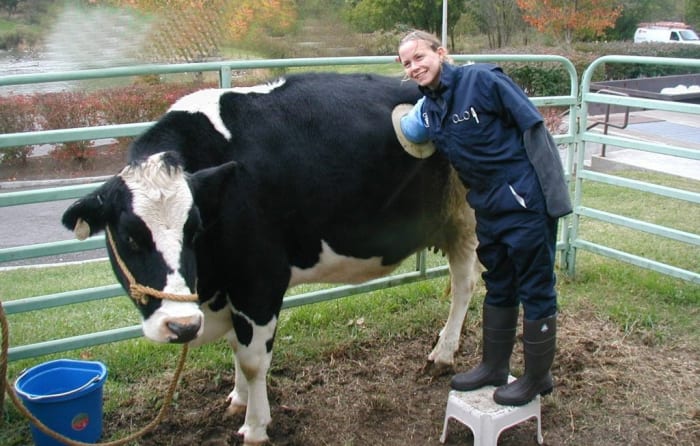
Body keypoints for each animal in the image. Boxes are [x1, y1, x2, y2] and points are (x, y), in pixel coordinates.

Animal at [61, 72, 482, 442]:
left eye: (193, 229)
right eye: (129, 237)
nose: (180, 326)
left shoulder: (259, 281)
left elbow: (252, 360)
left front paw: (255, 426)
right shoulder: (232, 290)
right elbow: (236, 347)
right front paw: (237, 400)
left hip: (471, 221)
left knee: (465, 286)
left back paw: (443, 355)